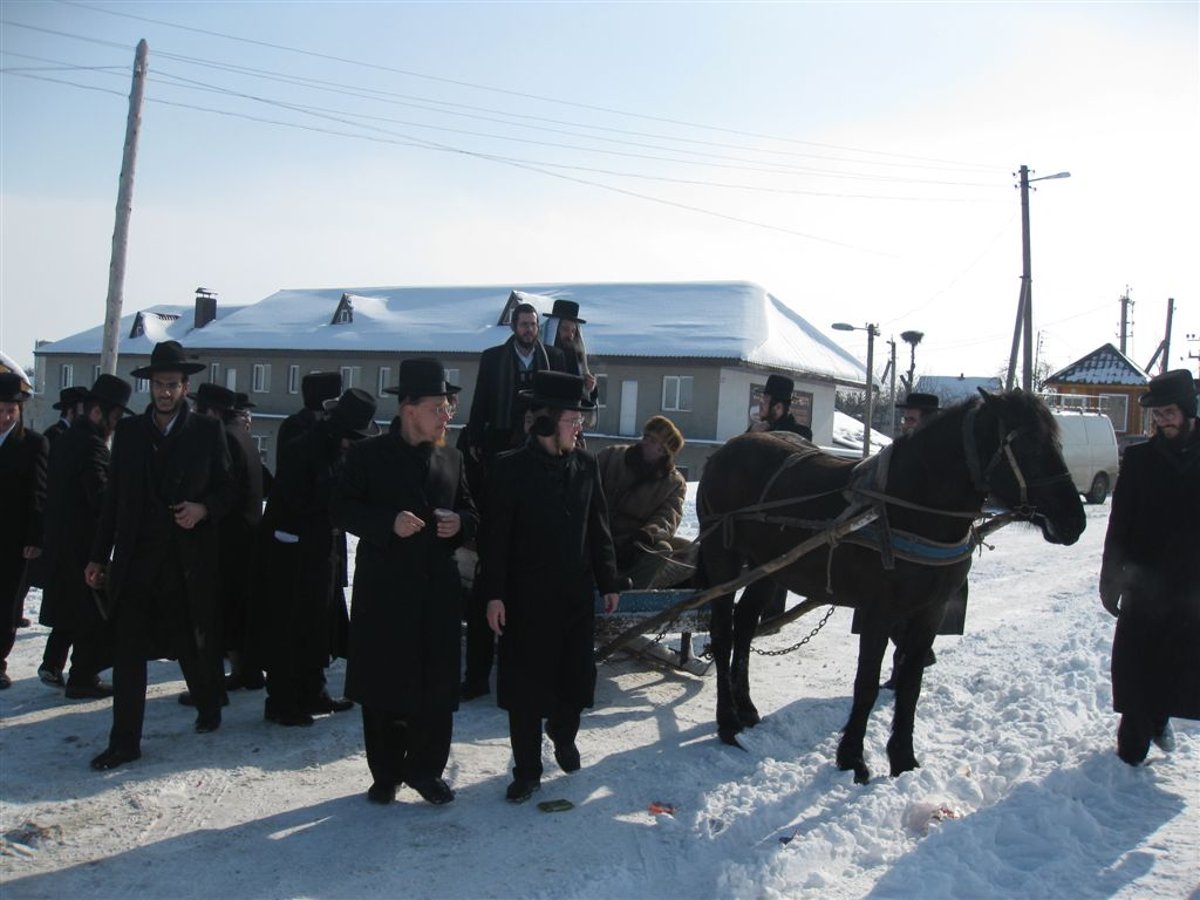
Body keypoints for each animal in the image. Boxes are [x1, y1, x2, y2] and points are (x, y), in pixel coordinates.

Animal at [696, 391, 1089, 787]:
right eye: (1028, 446)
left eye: (1055, 443)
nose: (1075, 520)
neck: (910, 508)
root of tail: (728, 450)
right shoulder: (877, 613)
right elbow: (867, 684)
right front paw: (853, 759)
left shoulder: (929, 612)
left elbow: (911, 683)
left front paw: (903, 758)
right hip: (723, 557)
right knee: (724, 632)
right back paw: (727, 722)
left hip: (768, 568)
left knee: (746, 624)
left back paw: (746, 708)